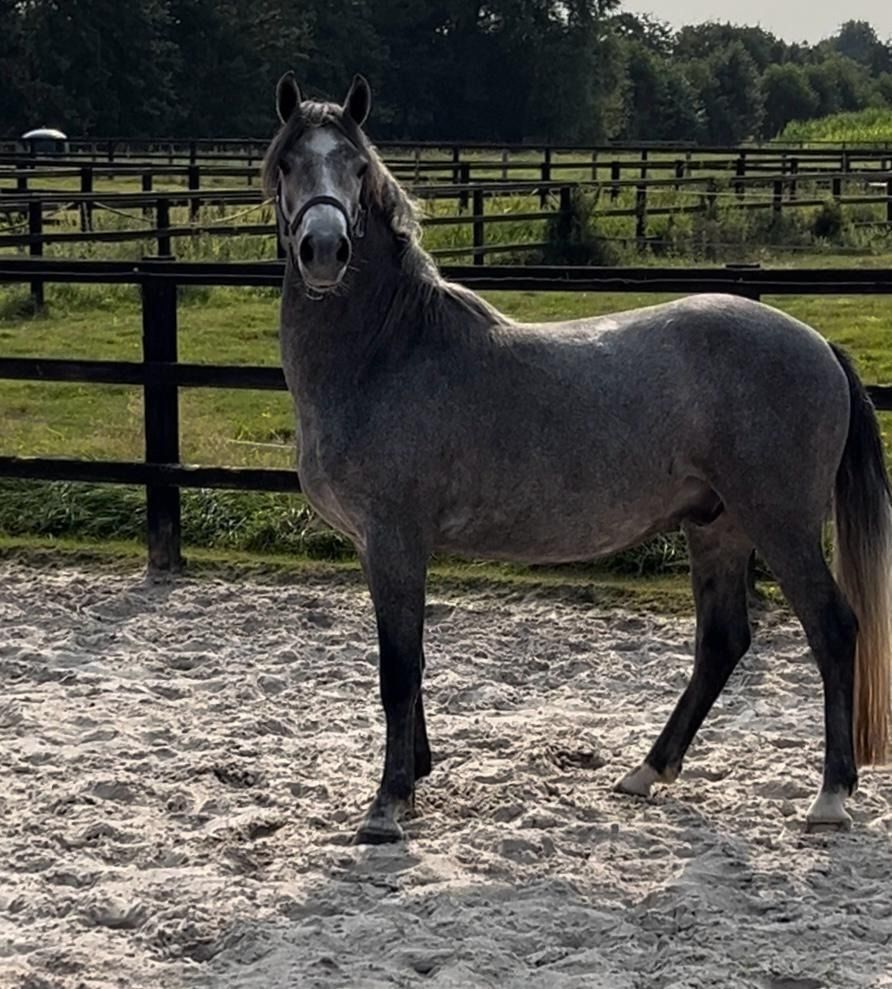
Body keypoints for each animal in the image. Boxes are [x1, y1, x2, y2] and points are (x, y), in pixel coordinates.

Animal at [264, 72, 892, 844]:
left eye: (356, 168)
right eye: (290, 164)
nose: (324, 249)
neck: (389, 350)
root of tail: (819, 345)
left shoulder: (395, 539)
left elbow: (398, 669)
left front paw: (388, 805)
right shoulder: (376, 547)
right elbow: (409, 664)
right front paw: (416, 773)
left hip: (782, 524)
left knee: (832, 630)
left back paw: (830, 796)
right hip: (718, 525)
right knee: (722, 642)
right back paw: (647, 772)